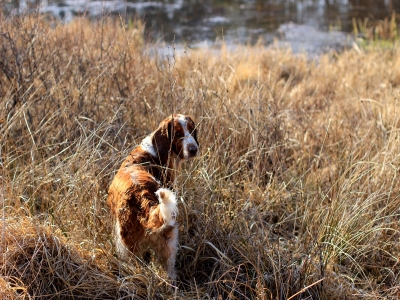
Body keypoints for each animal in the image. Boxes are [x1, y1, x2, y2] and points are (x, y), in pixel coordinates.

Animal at [107, 113, 199, 278]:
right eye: (177, 134)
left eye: (191, 130)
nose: (193, 149)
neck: (155, 150)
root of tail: (144, 197)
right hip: (166, 243)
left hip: (130, 247)